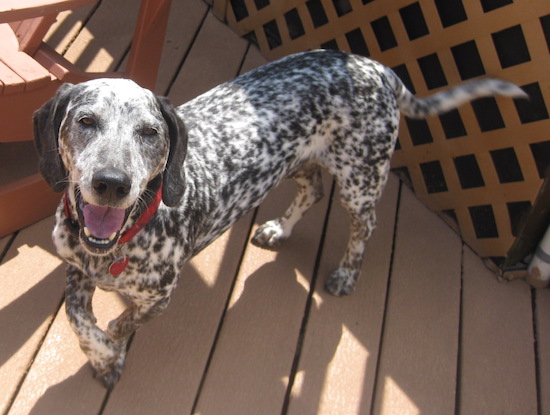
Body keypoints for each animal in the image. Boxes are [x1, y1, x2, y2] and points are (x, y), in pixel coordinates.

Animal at [34, 49, 532, 390]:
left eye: (150, 132)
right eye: (85, 120)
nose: (112, 183)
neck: (118, 245)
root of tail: (375, 67)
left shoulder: (158, 299)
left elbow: (120, 324)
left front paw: (112, 352)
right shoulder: (74, 272)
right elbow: (81, 322)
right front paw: (102, 355)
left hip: (360, 180)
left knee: (364, 227)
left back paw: (347, 274)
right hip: (295, 162)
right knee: (312, 191)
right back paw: (279, 230)